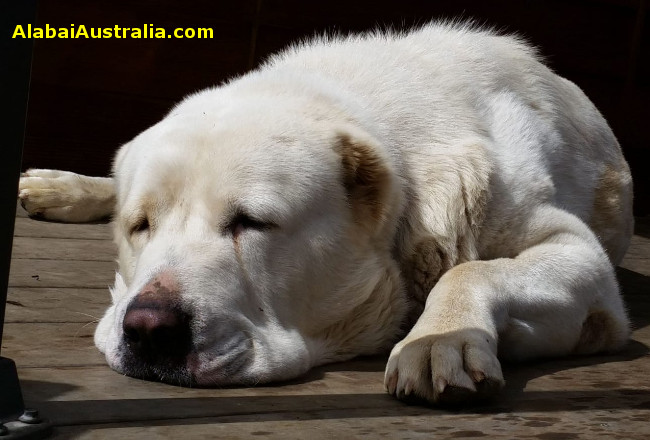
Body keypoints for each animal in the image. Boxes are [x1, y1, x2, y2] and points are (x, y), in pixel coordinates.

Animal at [19, 22, 628, 404]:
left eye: (252, 223)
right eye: (141, 226)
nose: (148, 329)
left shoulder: (583, 261)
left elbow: (473, 269)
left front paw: (442, 338)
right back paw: (61, 187)